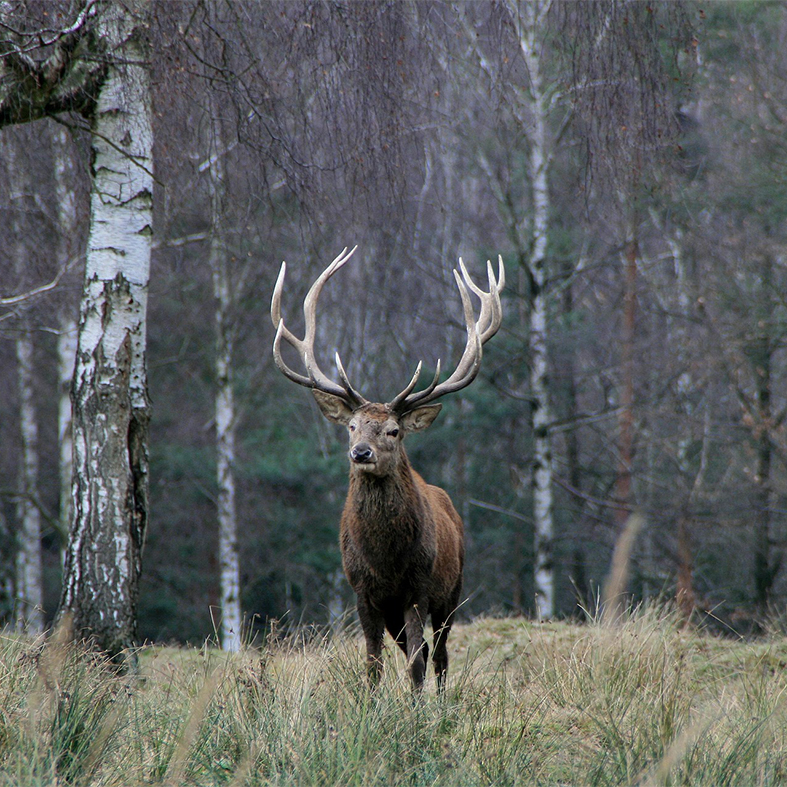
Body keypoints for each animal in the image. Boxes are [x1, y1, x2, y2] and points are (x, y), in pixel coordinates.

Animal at [270, 246, 504, 692]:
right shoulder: (364, 592)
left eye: (394, 430)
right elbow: (373, 663)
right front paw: (373, 704)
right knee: (426, 650)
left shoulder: (418, 588)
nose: (360, 453)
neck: (386, 559)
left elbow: (415, 662)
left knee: (439, 654)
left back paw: (441, 699)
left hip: (452, 590)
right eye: (352, 426)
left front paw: (414, 708)